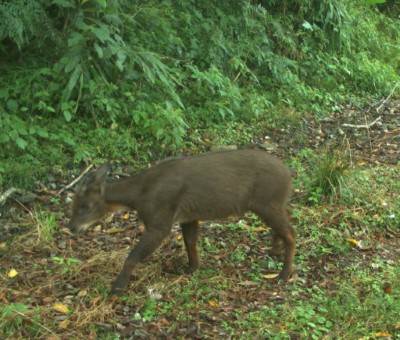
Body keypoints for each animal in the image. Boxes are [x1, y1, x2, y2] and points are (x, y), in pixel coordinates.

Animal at [67, 149, 296, 294]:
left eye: (85, 206)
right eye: (74, 202)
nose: (72, 228)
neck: (140, 195)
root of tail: (289, 175)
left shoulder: (160, 223)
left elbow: (132, 256)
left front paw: (116, 289)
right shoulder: (189, 216)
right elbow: (190, 243)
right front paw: (191, 269)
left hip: (267, 203)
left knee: (291, 233)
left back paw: (284, 275)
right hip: (270, 205)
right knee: (285, 222)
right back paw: (275, 252)